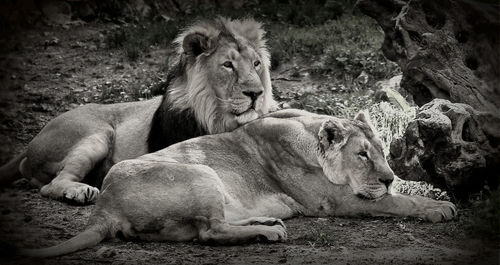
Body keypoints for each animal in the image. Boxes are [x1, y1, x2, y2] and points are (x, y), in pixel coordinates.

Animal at [0, 17, 278, 203]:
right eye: (228, 65)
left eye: (256, 64)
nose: (256, 94)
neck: (218, 117)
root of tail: (32, 142)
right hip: (97, 134)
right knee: (51, 185)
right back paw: (80, 191)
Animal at [20, 109, 458, 256]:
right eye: (362, 155)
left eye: (382, 151)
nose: (389, 177)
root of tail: (104, 207)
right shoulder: (338, 202)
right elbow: (397, 203)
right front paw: (439, 207)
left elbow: (397, 200)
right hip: (202, 172)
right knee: (209, 233)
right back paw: (270, 233)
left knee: (212, 227)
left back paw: (268, 224)